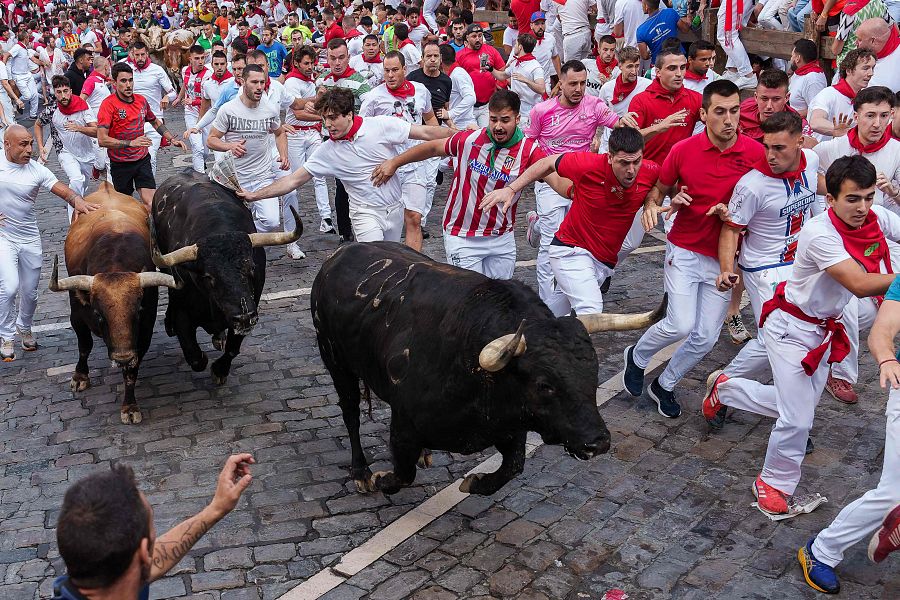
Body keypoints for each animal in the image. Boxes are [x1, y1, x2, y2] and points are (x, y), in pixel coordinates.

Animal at [49, 183, 179, 422]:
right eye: (99, 315)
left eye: (137, 312)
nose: (122, 357)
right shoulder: (77, 316)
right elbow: (84, 345)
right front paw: (80, 376)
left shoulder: (145, 327)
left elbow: (132, 371)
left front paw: (129, 406)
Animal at [312, 241, 668, 494]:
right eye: (545, 385)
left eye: (593, 373)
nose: (598, 442)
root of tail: (339, 254)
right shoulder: (403, 424)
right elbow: (402, 475)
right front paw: (380, 478)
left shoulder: (512, 428)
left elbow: (512, 468)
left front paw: (474, 482)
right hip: (336, 363)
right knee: (351, 414)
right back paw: (361, 472)